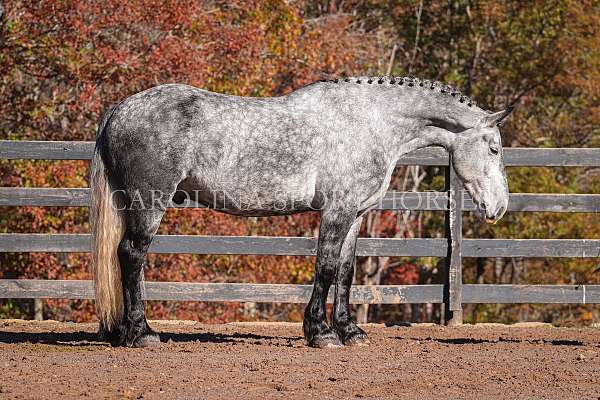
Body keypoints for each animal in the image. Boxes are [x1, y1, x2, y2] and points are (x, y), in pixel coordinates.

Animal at [91, 75, 512, 346]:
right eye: (493, 148)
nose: (499, 207)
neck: (370, 122)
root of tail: (119, 110)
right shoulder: (336, 211)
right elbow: (324, 268)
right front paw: (321, 333)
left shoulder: (355, 215)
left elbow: (345, 272)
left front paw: (349, 332)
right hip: (149, 203)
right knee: (131, 256)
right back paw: (142, 333)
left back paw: (123, 332)